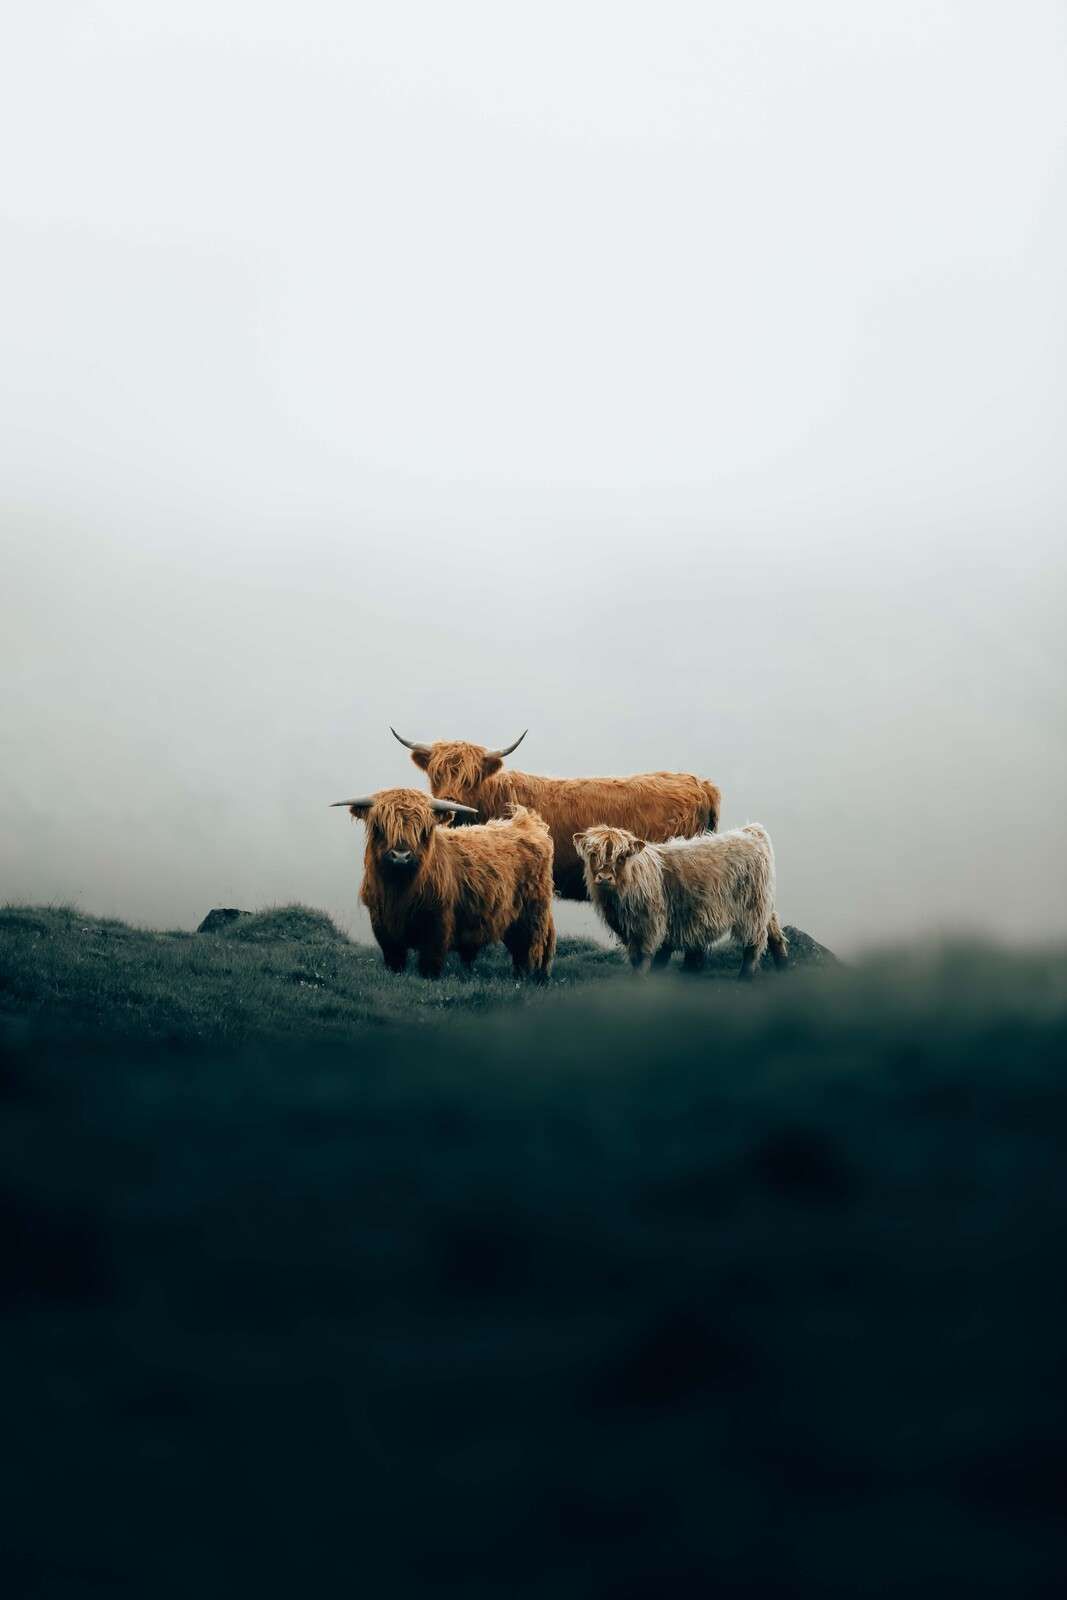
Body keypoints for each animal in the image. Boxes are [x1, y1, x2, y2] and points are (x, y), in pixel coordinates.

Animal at [332, 787, 556, 981]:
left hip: (531, 914)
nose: (401, 856)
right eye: (380, 826)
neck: (399, 890)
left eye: (422, 828)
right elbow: (394, 959)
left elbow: (430, 962)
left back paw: (525, 977)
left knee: (527, 949)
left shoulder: (438, 922)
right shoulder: (382, 924)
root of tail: (527, 824)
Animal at [573, 821, 788, 981]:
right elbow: (638, 957)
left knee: (755, 942)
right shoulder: (630, 930)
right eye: (593, 854)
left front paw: (639, 982)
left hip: (752, 907)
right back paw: (783, 966)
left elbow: (644, 957)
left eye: (622, 856)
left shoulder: (650, 926)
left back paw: (745, 977)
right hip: (764, 904)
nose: (604, 878)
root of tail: (750, 831)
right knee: (774, 931)